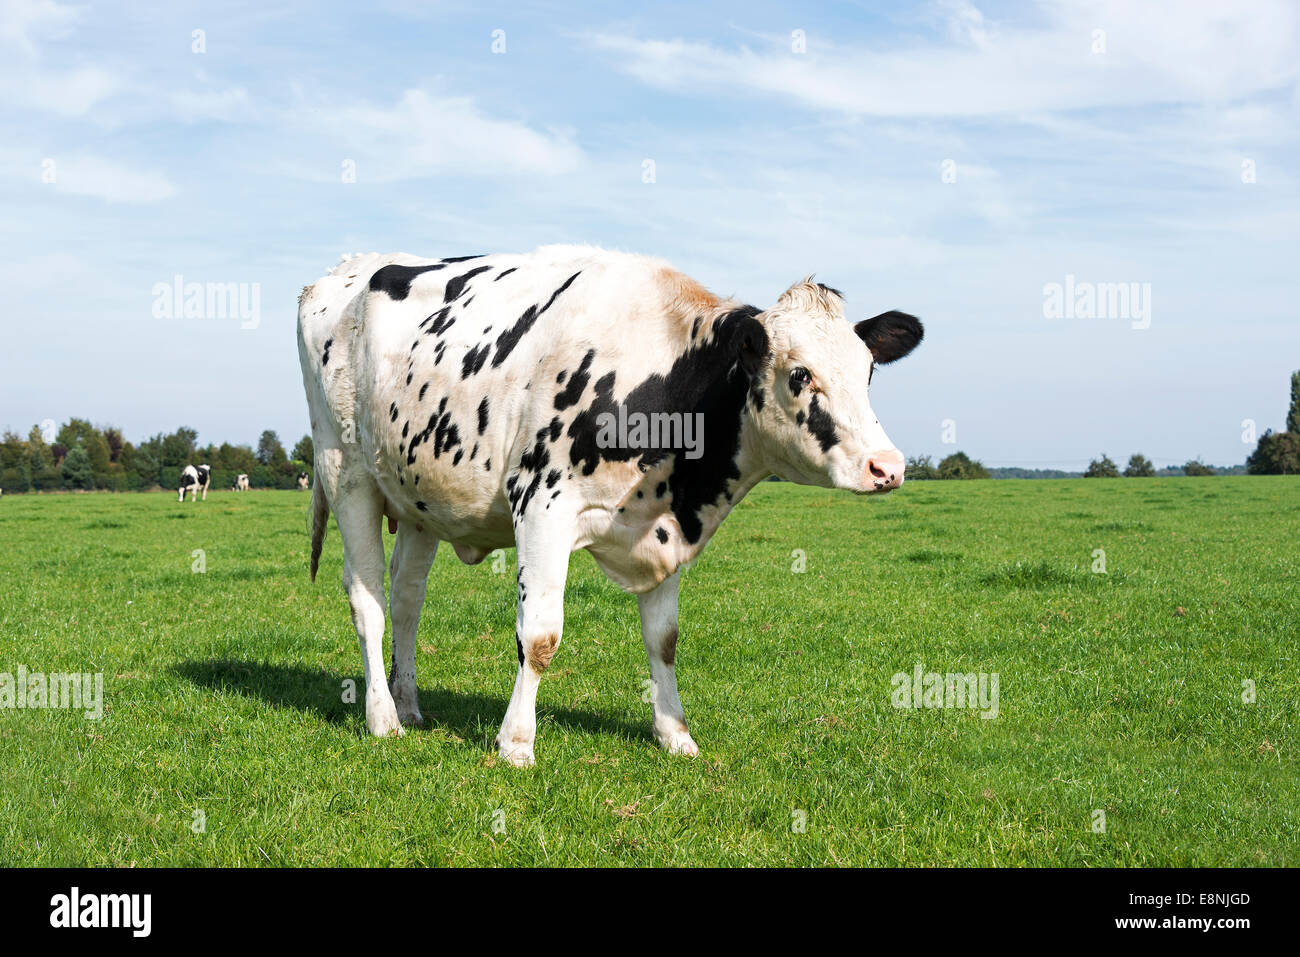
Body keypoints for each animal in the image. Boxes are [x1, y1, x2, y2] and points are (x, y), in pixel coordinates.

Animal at [297, 246, 922, 766]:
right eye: (800, 374)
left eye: (868, 370)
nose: (887, 467)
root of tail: (345, 269)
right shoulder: (541, 504)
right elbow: (540, 636)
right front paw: (515, 743)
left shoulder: (664, 527)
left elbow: (664, 640)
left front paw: (675, 734)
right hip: (346, 472)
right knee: (368, 600)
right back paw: (382, 718)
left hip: (419, 497)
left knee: (407, 599)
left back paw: (407, 703)